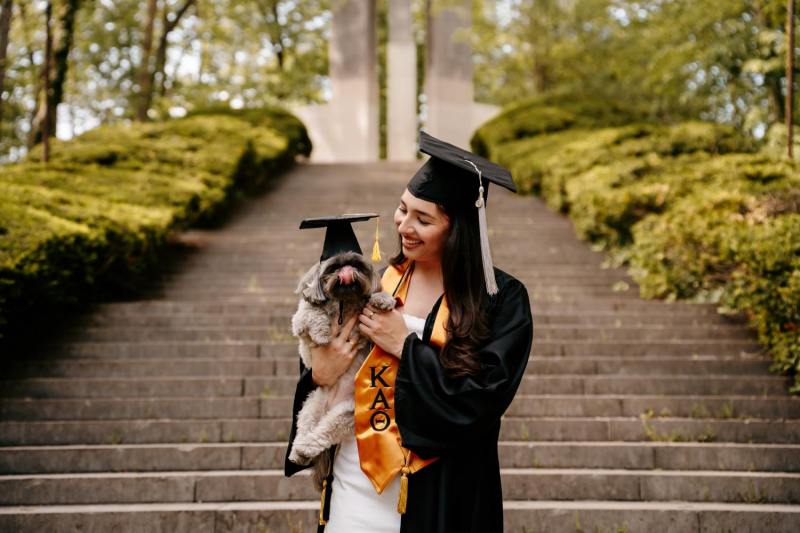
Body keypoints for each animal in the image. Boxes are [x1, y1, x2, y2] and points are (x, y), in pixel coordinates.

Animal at [290, 249, 396, 486]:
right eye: (333, 268)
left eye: (357, 265)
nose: (346, 272)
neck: (343, 304)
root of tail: (329, 407)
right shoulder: (300, 324)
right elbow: (311, 312)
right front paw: (322, 333)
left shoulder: (365, 330)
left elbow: (370, 301)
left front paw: (382, 299)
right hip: (309, 408)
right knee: (306, 432)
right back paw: (298, 452)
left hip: (345, 414)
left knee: (322, 434)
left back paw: (304, 450)